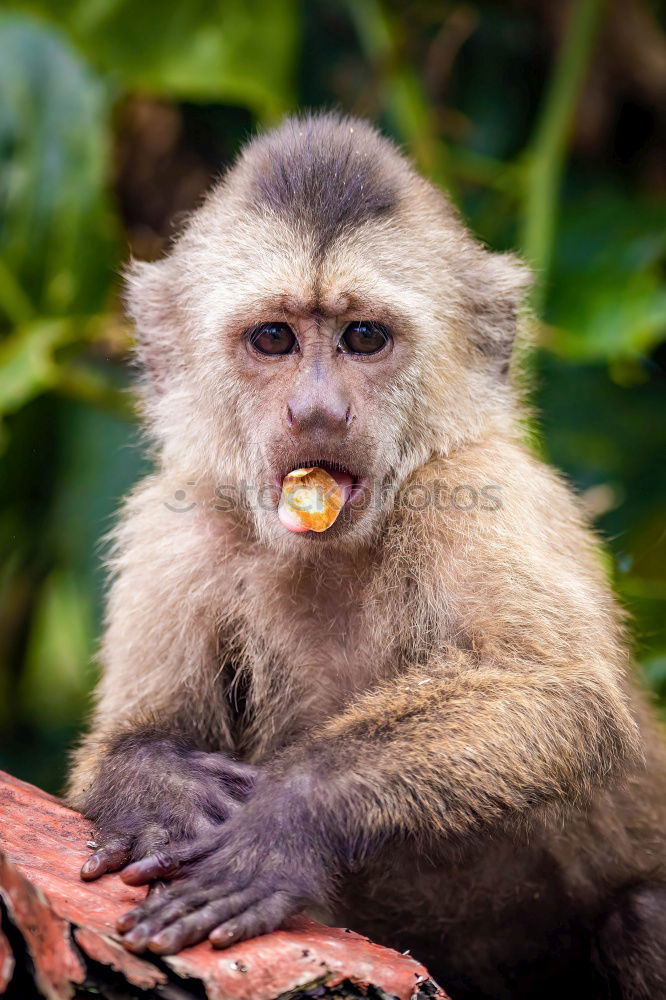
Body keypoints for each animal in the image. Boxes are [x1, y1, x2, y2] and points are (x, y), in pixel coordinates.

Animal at [67, 113, 664, 996]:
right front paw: (159, 791)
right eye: (274, 338)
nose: (317, 410)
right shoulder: (172, 528)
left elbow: (563, 696)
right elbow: (133, 735)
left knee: (643, 918)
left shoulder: (484, 490)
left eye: (364, 338)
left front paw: (289, 817)